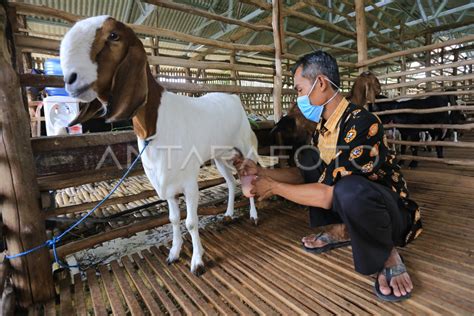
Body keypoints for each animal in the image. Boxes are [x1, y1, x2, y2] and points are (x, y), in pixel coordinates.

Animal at [60, 16, 260, 276]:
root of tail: (234, 98)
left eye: (114, 35)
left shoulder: (189, 182)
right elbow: (173, 219)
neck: (154, 127)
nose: (70, 80)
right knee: (231, 182)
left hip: (245, 148)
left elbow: (191, 222)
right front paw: (174, 252)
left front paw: (197, 261)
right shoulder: (166, 184)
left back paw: (254, 216)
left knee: (250, 180)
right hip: (220, 157)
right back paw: (227, 214)